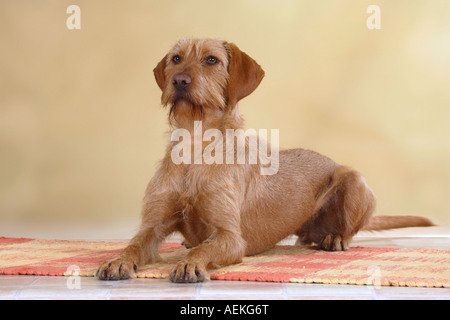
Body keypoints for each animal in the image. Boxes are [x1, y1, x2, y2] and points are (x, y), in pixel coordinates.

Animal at [96, 38, 434, 282]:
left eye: (211, 60)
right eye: (176, 59)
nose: (179, 80)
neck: (195, 145)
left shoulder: (231, 238)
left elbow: (206, 249)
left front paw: (190, 265)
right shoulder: (152, 227)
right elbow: (134, 244)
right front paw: (117, 260)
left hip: (354, 179)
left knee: (346, 226)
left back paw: (335, 238)